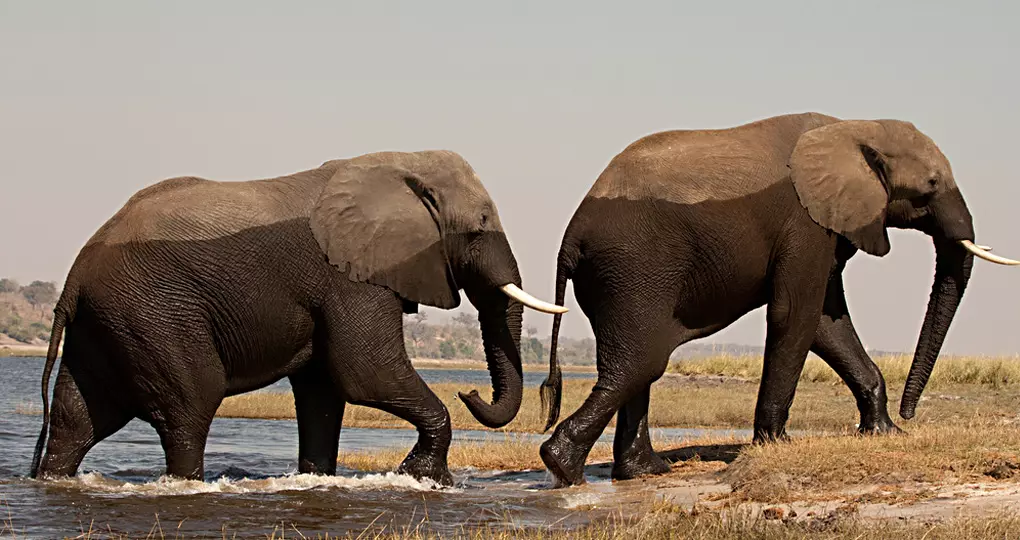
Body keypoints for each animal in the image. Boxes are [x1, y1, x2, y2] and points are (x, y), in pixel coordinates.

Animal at [29, 149, 566, 486]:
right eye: (479, 228)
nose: (469, 391)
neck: (401, 164)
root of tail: (73, 278)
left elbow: (324, 390)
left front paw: (319, 479)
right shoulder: (349, 276)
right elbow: (365, 373)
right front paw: (423, 479)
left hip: (111, 321)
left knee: (79, 417)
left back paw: (52, 479)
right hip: (153, 312)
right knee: (189, 408)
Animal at [537, 112, 1018, 487]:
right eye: (932, 184)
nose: (912, 413)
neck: (855, 127)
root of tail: (569, 238)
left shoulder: (827, 225)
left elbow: (827, 322)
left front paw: (886, 433)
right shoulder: (804, 221)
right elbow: (796, 315)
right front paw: (776, 445)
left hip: (621, 278)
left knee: (639, 365)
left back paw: (644, 472)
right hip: (634, 269)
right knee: (642, 362)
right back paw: (562, 468)